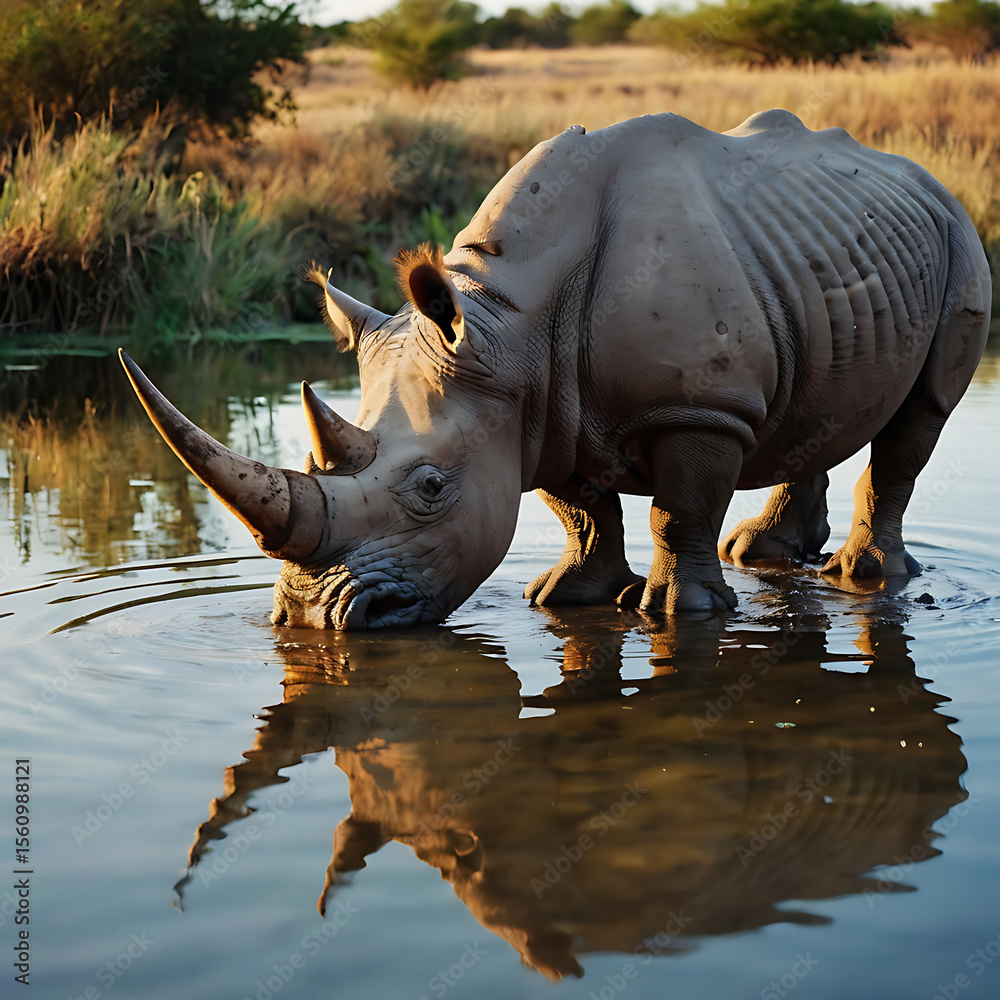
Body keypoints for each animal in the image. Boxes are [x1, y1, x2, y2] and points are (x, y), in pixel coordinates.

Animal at [120, 109, 991, 629]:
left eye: (430, 488)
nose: (308, 616)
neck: (509, 321)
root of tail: (925, 175)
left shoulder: (698, 406)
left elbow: (678, 508)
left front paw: (678, 613)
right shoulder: (535, 402)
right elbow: (579, 509)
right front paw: (568, 597)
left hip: (958, 236)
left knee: (920, 416)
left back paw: (862, 576)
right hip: (825, 248)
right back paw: (765, 556)